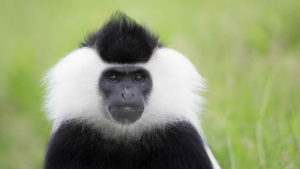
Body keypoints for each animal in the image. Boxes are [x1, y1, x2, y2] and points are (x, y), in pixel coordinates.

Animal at [42, 11, 220, 169]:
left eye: (138, 77)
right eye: (113, 77)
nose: (127, 94)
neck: (125, 133)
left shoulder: (183, 138)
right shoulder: (68, 137)